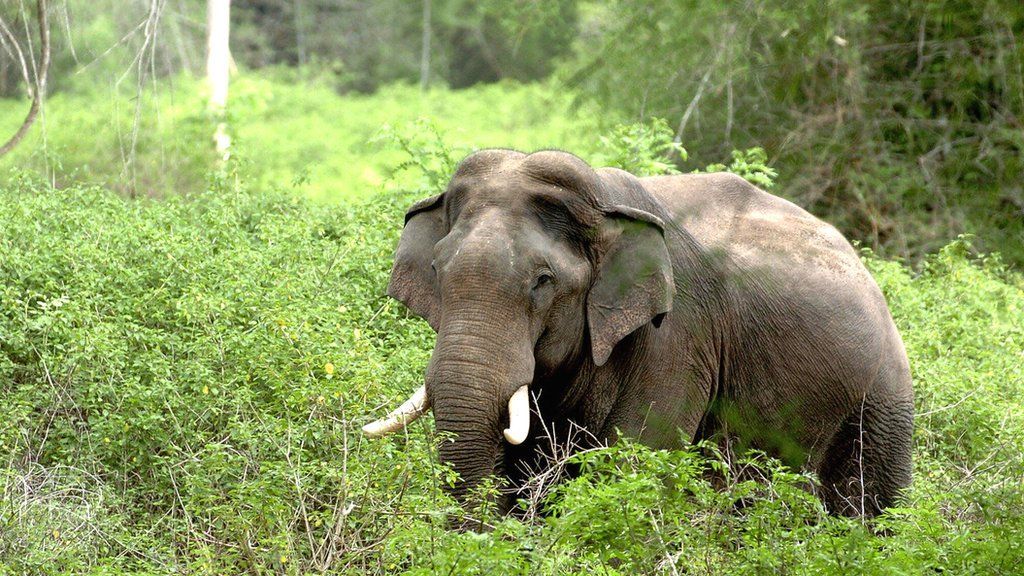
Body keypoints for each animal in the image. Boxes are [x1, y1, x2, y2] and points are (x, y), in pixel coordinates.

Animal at [362, 147, 913, 516]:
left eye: (543, 281)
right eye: (437, 270)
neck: (604, 206)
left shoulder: (678, 338)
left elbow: (633, 465)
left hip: (884, 399)